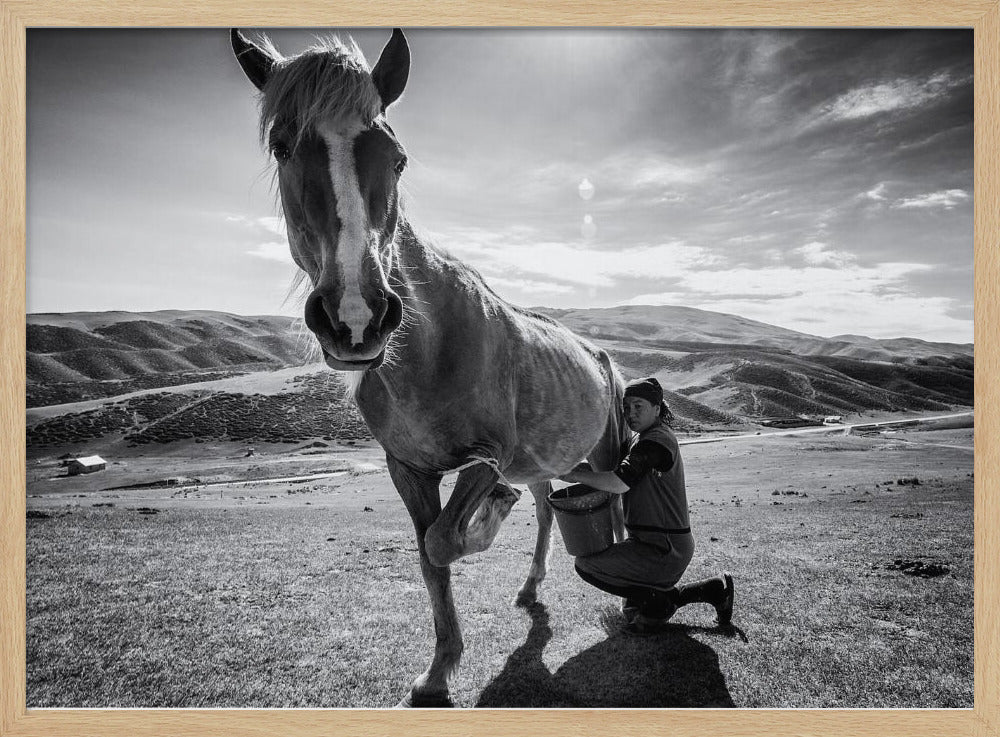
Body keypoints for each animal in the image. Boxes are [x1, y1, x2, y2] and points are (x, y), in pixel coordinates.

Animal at [231, 27, 629, 707]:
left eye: (397, 159)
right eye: (282, 148)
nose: (357, 316)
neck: (428, 351)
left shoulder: (488, 455)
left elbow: (447, 541)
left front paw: (487, 519)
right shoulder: (407, 468)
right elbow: (429, 555)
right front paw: (439, 673)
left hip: (602, 449)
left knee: (618, 503)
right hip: (544, 462)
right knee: (547, 506)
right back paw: (530, 585)